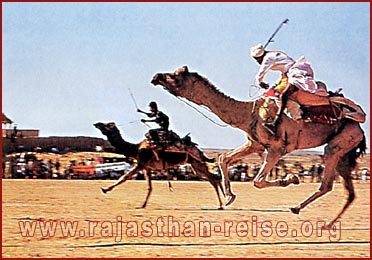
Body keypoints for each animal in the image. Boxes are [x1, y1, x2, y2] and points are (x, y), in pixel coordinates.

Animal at [93, 122, 224, 209]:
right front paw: (143, 205)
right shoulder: (147, 168)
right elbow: (149, 187)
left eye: (107, 125)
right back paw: (223, 202)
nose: (96, 124)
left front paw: (105, 189)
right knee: (213, 178)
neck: (135, 148)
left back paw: (222, 204)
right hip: (195, 166)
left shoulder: (141, 164)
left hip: (197, 162)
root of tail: (199, 150)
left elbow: (124, 177)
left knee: (213, 179)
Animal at [151, 66, 366, 226]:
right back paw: (322, 221)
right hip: (345, 151)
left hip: (340, 142)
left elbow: (258, 181)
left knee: (327, 180)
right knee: (346, 190)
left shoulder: (277, 148)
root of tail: (360, 128)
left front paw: (292, 178)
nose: (156, 76)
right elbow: (223, 158)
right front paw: (229, 197)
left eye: (176, 76)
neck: (249, 114)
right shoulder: (254, 144)